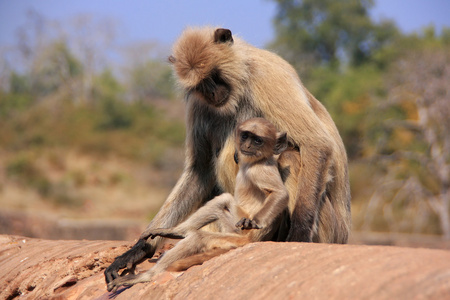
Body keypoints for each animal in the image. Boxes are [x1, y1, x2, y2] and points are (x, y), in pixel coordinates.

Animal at [107, 118, 288, 292]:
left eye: (257, 140)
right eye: (245, 136)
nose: (247, 146)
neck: (254, 162)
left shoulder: (260, 170)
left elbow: (280, 194)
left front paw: (255, 221)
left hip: (238, 237)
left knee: (199, 238)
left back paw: (147, 276)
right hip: (233, 227)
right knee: (221, 201)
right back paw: (176, 232)